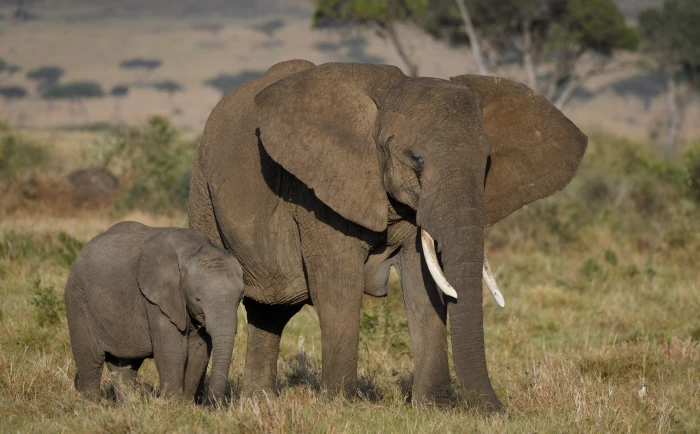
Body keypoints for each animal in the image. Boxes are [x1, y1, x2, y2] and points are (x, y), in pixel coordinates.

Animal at [64, 221, 244, 403]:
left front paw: (186, 405)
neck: (194, 250)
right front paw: (174, 405)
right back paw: (92, 405)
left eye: (240, 298)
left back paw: (129, 406)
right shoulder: (156, 300)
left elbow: (198, 350)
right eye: (198, 299)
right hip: (78, 300)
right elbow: (173, 351)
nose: (211, 404)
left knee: (123, 364)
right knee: (90, 360)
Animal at [187, 59, 587, 412]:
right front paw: (340, 407)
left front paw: (433, 409)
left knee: (269, 311)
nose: (500, 412)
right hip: (203, 191)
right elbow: (339, 284)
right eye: (417, 159)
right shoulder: (317, 192)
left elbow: (423, 285)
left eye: (487, 163)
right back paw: (200, 402)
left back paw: (257, 404)